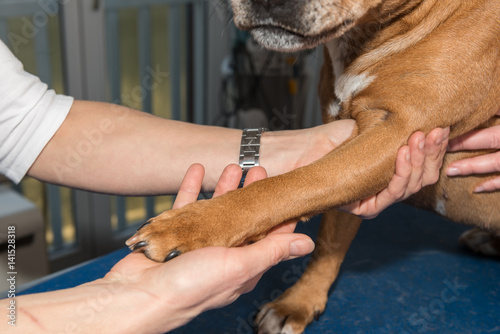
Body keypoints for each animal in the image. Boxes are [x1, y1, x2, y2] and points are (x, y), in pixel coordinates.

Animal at [126, 0, 500, 332]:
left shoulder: (394, 134)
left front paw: (193, 225)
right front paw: (299, 302)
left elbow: (285, 187)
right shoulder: (351, 132)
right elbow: (329, 242)